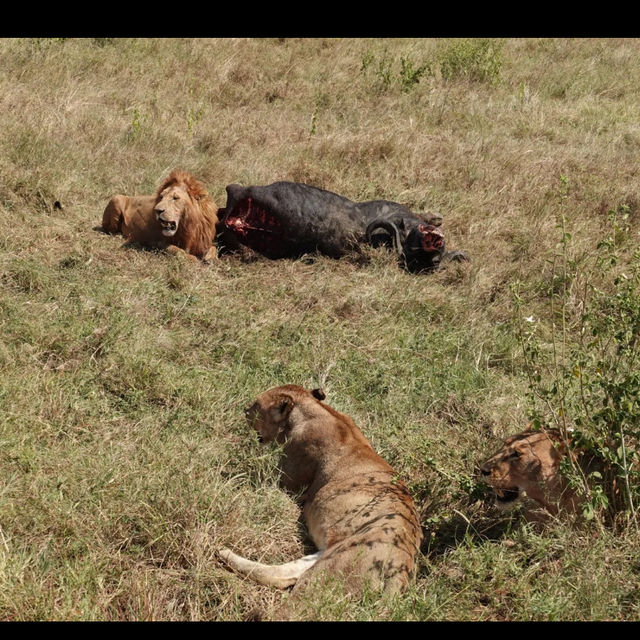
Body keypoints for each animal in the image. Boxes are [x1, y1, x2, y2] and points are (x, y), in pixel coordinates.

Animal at [218, 382, 422, 612]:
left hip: (329, 573)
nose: (244, 410)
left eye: (255, 406)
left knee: (294, 603)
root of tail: (401, 569)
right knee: (282, 574)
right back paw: (224, 553)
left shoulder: (287, 481)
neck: (313, 408)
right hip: (327, 556)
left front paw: (226, 471)